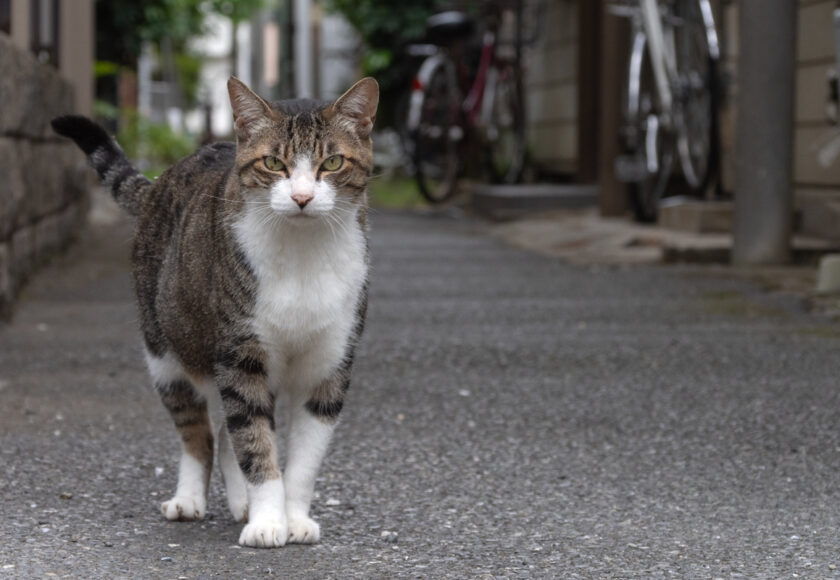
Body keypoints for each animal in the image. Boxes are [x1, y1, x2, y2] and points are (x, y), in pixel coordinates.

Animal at [52, 77, 378, 548]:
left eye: (332, 162)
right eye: (274, 163)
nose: (301, 197)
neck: (302, 254)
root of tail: (159, 182)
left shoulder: (330, 361)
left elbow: (304, 458)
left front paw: (294, 518)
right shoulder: (239, 354)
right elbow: (255, 443)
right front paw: (267, 522)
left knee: (226, 432)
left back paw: (240, 503)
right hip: (167, 351)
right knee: (200, 433)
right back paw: (189, 499)